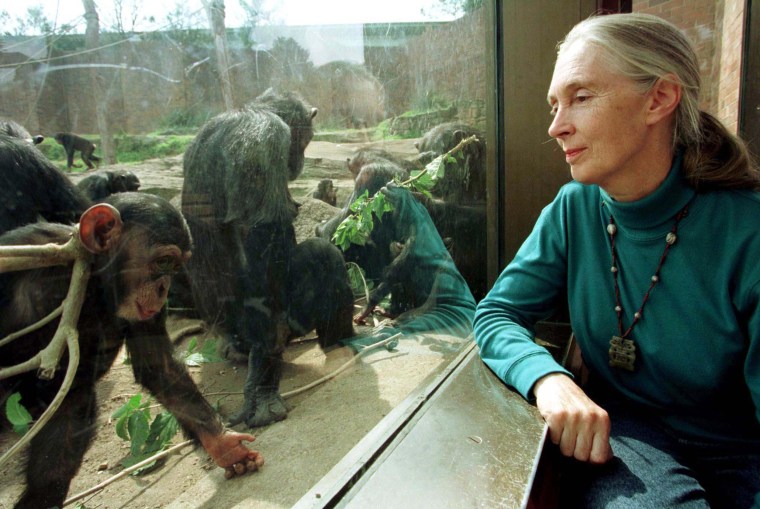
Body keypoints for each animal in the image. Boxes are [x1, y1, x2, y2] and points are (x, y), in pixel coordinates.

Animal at [0, 191, 264, 508]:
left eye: (176, 267)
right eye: (163, 261)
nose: (164, 289)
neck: (93, 283)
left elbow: (158, 366)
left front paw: (224, 445)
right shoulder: (24, 252)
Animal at [181, 89, 354, 426]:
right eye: (305, 139)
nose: (300, 159)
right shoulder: (267, 141)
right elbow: (263, 233)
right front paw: (261, 377)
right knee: (323, 255)